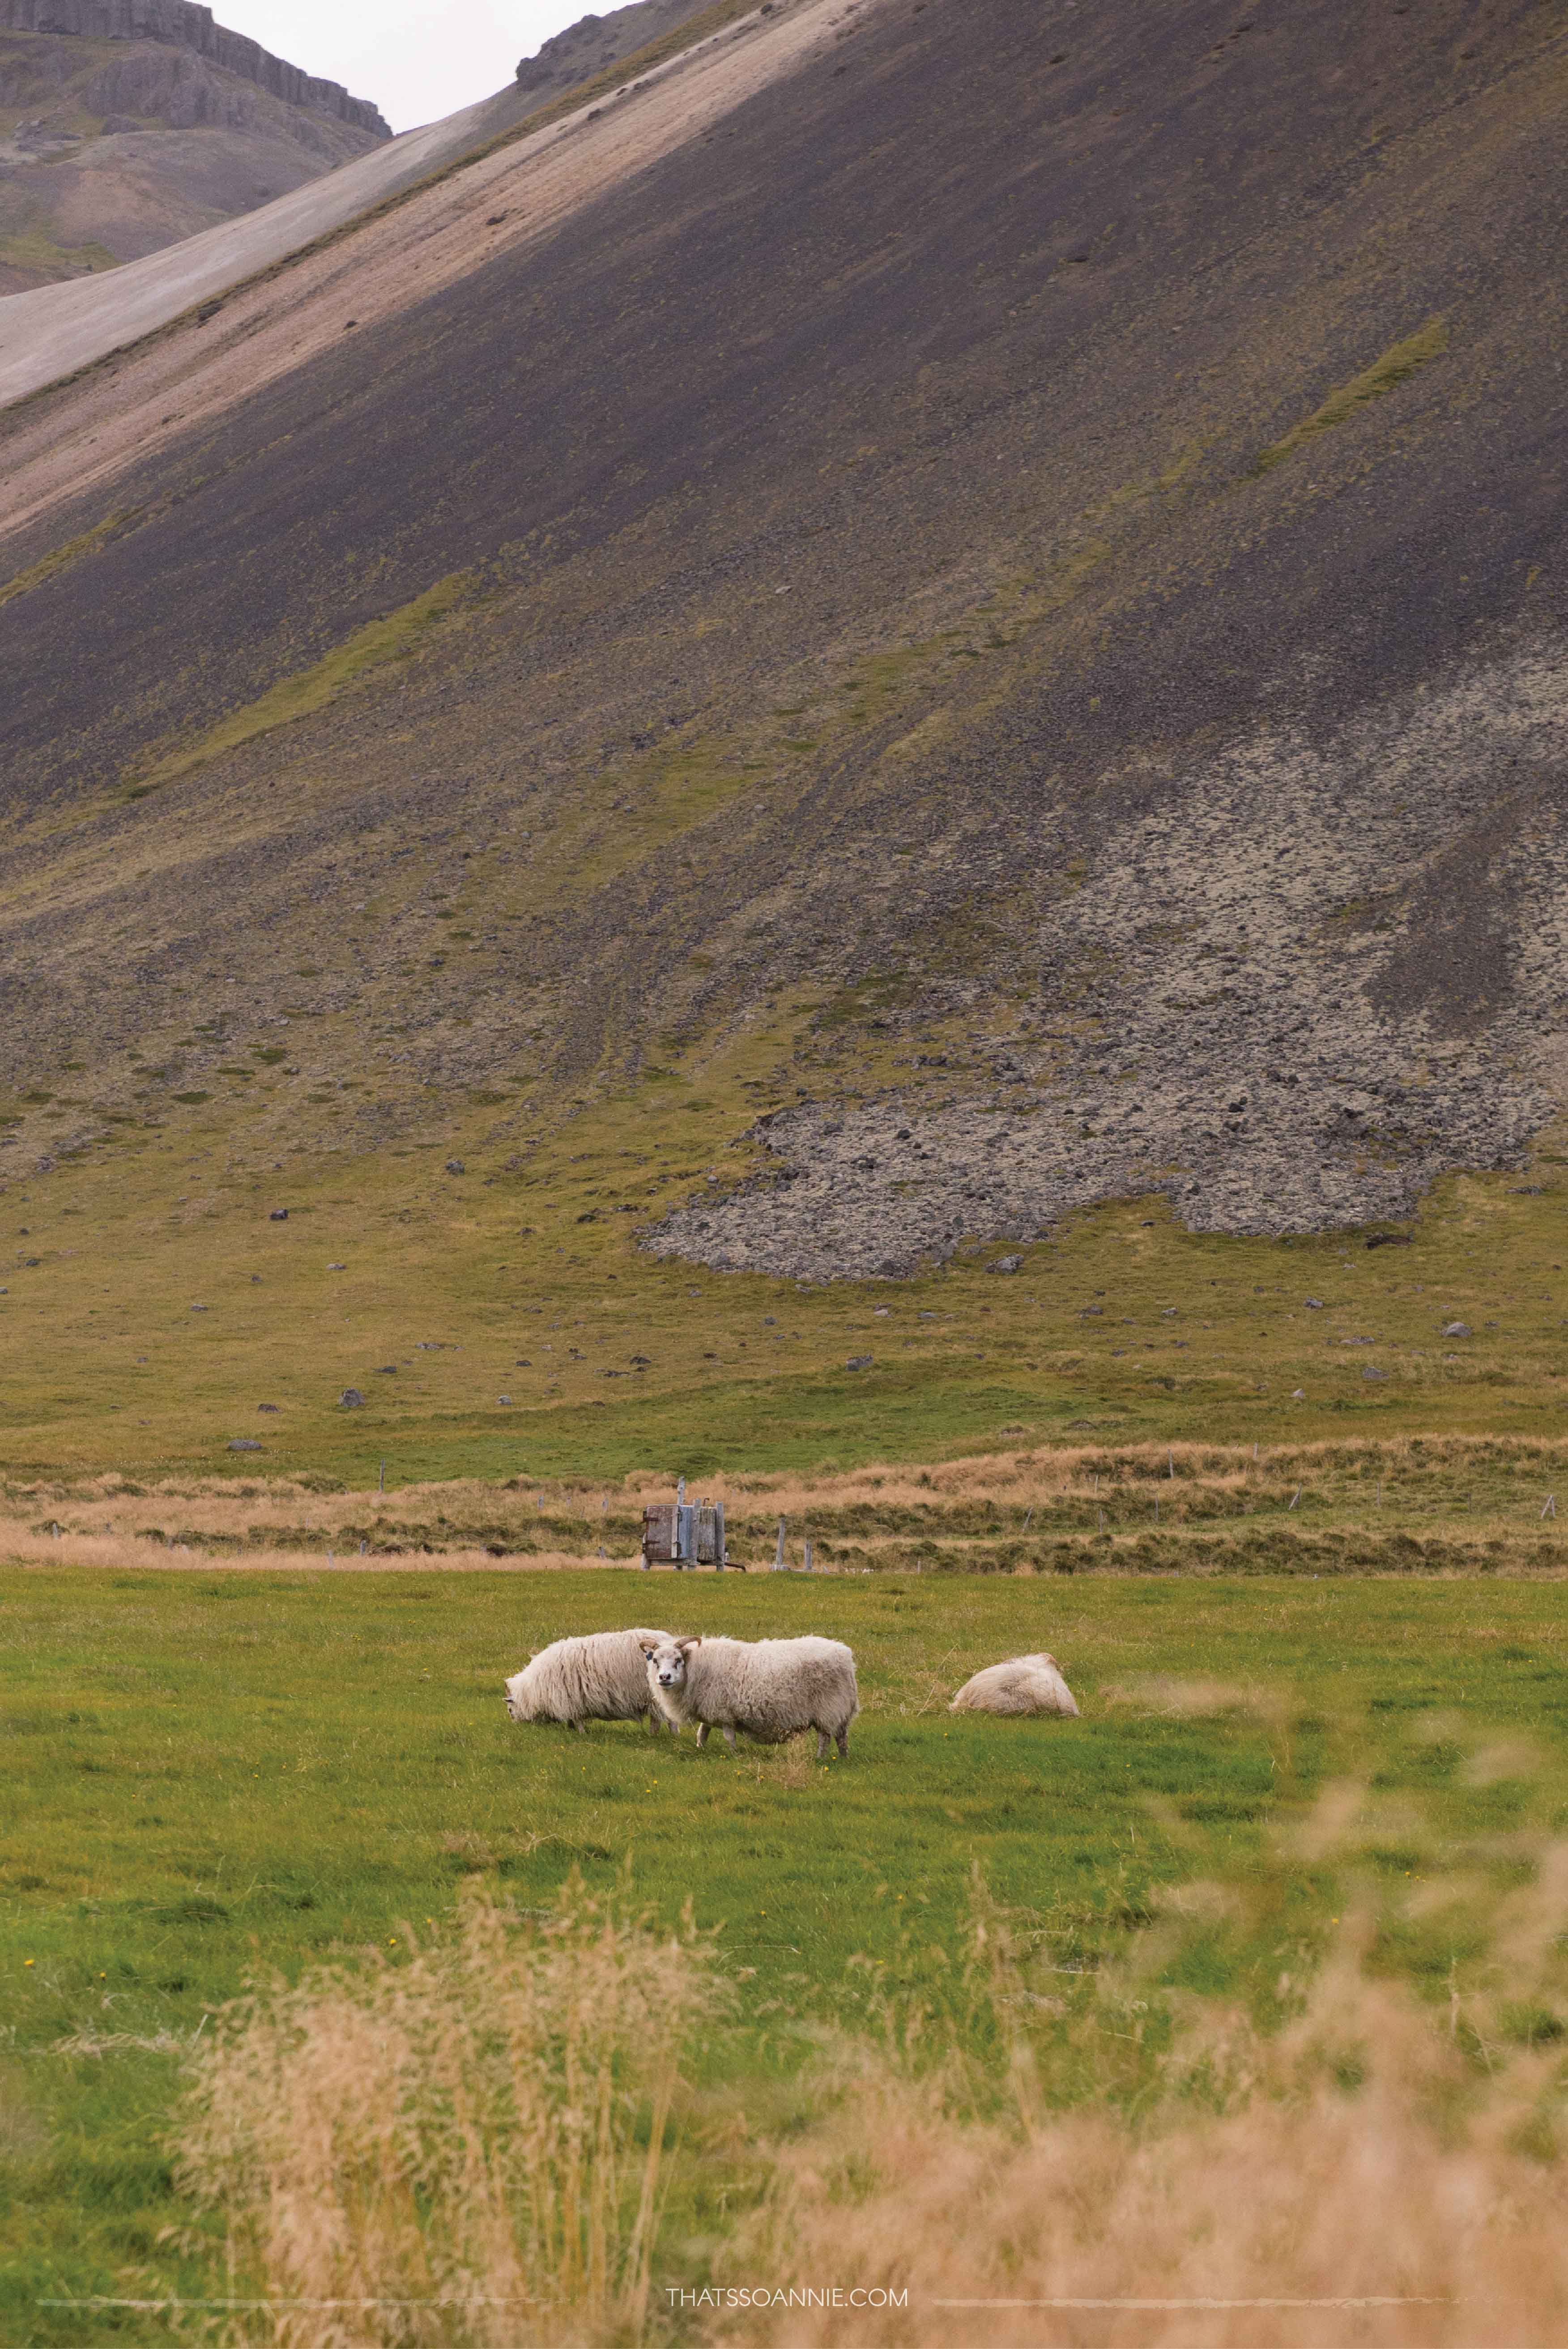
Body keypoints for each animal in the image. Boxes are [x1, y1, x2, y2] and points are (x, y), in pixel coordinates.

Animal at [502, 1625, 676, 1738]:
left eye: (510, 1710)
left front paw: (581, 1733)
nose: (518, 1729)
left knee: (665, 1720)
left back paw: (666, 1736)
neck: (534, 1690)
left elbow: (577, 1720)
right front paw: (572, 1729)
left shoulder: (571, 1700)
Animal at [638, 1635, 859, 1766]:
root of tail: (845, 1655)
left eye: (678, 1660)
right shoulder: (709, 1710)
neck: (697, 1669)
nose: (664, 1678)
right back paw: (844, 1759)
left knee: (826, 1738)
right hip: (838, 1710)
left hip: (828, 1708)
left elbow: (729, 1737)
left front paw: (734, 1755)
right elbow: (702, 1733)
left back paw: (820, 1759)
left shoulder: (725, 1714)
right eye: (655, 1660)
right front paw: (701, 1750)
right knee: (842, 1738)